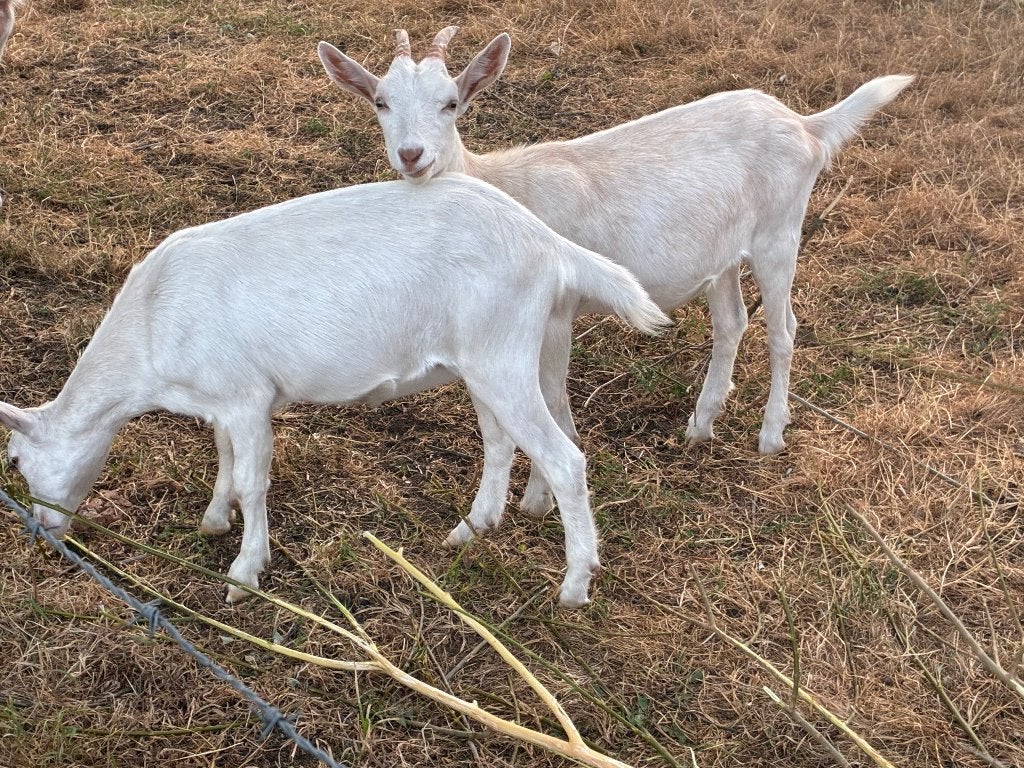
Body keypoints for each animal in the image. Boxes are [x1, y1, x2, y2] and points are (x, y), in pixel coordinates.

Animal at [0, 173, 670, 607]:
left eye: (16, 461)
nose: (45, 530)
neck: (150, 328)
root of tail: (551, 246)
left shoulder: (246, 395)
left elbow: (253, 478)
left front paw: (244, 572)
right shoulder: (221, 398)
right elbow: (224, 459)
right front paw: (214, 520)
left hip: (500, 353)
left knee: (566, 458)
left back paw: (575, 586)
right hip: (493, 358)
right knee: (504, 442)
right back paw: (471, 529)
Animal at [318, 28, 913, 483]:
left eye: (451, 103)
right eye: (380, 102)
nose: (412, 154)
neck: (498, 182)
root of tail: (807, 126)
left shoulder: (554, 310)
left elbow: (553, 397)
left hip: (779, 230)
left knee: (783, 327)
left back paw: (770, 434)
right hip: (723, 251)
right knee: (732, 322)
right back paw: (701, 424)